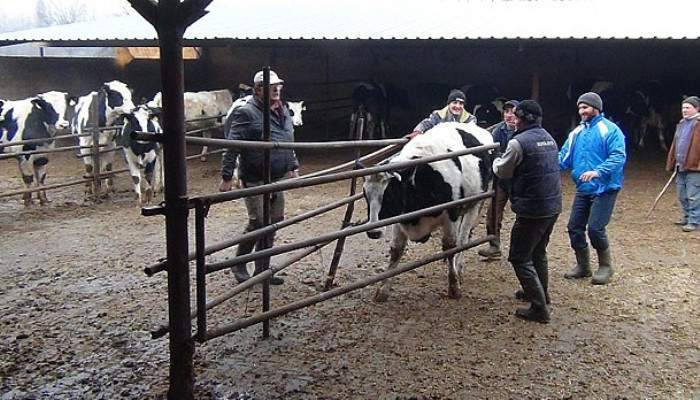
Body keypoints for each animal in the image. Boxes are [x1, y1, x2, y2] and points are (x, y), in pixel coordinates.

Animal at [364, 120, 494, 302]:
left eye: (390, 196)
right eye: (365, 195)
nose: (373, 232)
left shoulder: (451, 214)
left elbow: (450, 246)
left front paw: (454, 287)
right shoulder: (399, 219)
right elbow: (396, 250)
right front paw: (383, 290)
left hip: (475, 204)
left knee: (463, 239)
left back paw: (459, 268)